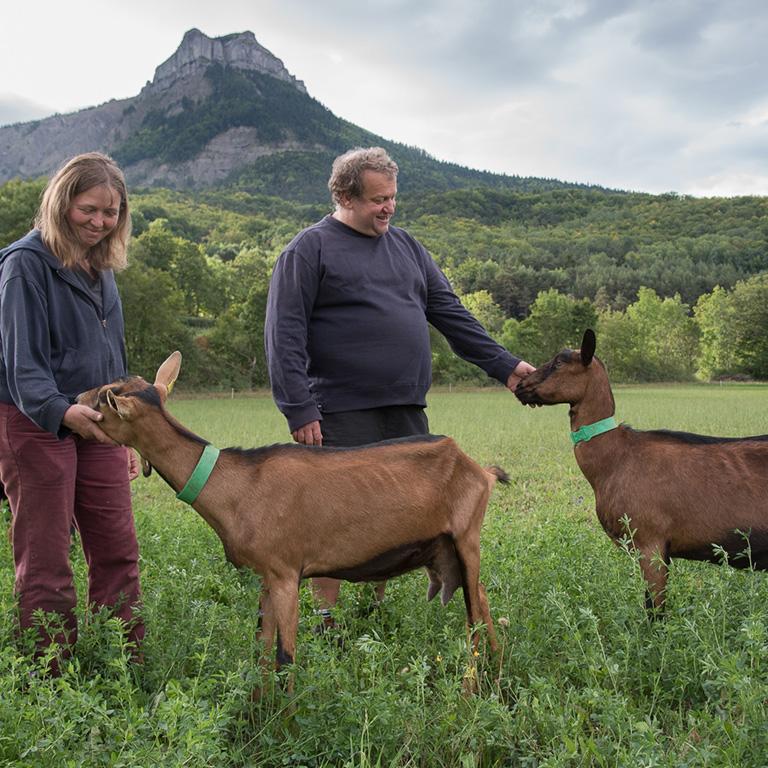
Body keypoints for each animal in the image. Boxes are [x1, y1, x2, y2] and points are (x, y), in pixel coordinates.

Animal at [79, 352, 504, 684]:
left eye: (103, 400)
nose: (76, 398)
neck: (236, 486)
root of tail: (479, 470)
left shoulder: (286, 572)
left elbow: (285, 659)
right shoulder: (265, 576)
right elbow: (260, 653)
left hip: (467, 538)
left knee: (475, 616)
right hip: (447, 550)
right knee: (482, 602)